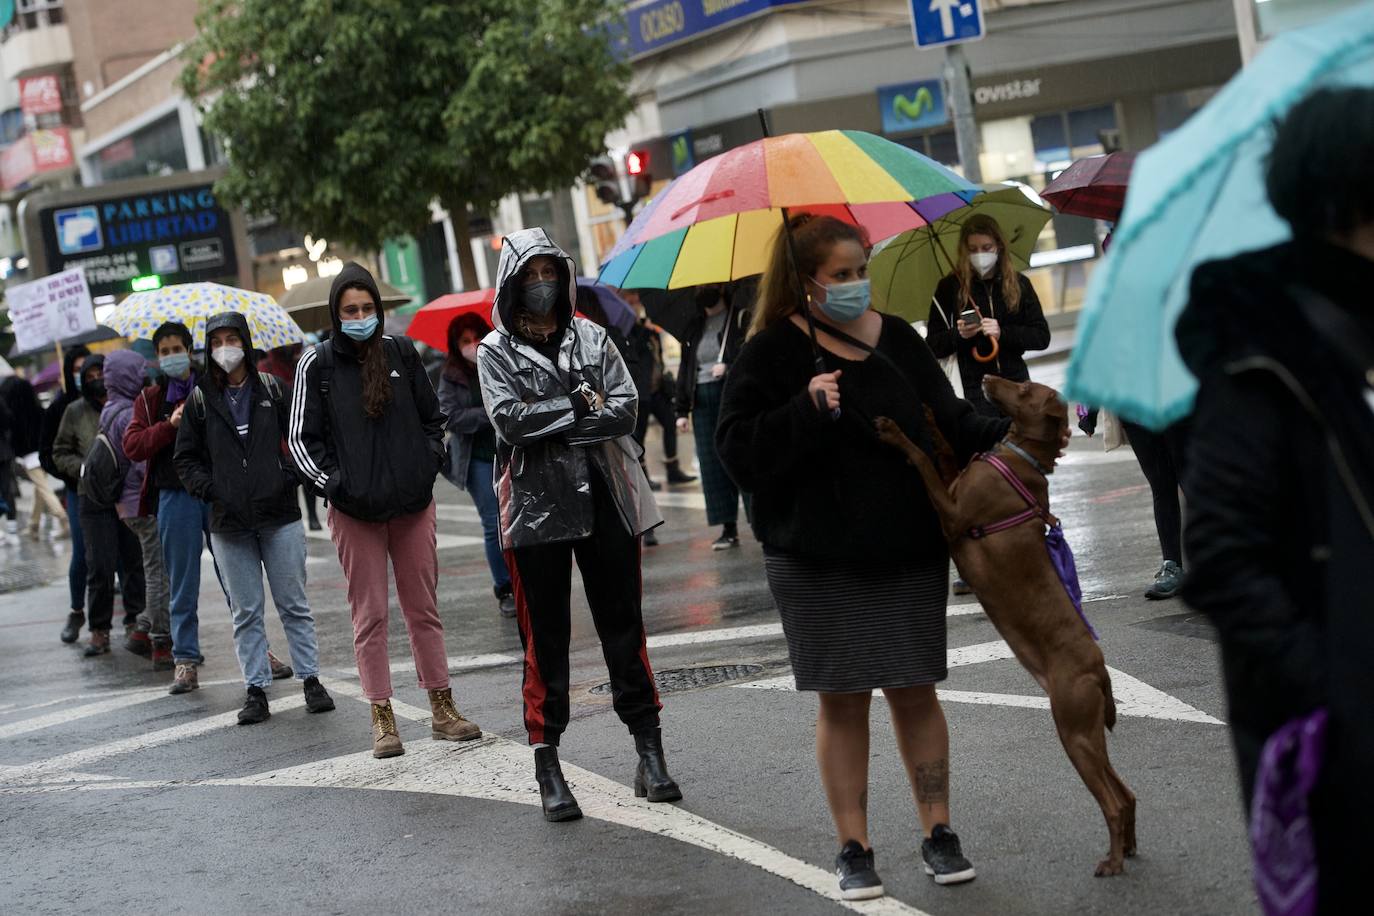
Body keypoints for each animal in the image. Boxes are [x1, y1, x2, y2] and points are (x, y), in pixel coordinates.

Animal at [879, 376, 1137, 878]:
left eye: (1023, 387)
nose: (985, 378)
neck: (1018, 457)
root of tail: (1100, 669)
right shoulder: (953, 488)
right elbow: (941, 450)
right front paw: (930, 415)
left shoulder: (953, 515)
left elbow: (922, 460)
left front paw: (895, 431)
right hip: (1088, 730)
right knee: (1128, 793)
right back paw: (1130, 849)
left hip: (1073, 730)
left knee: (1113, 801)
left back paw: (1114, 862)